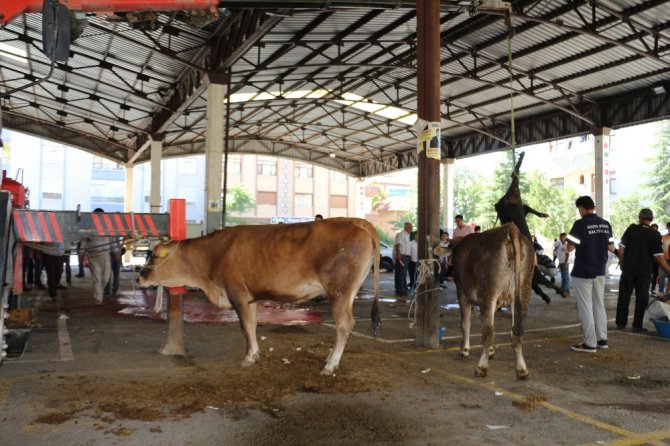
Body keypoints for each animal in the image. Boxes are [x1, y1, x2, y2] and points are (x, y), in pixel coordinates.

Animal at [139, 218, 380, 374]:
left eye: (156, 255)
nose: (140, 277)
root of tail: (357, 222)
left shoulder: (237, 293)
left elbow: (245, 326)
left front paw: (248, 357)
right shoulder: (250, 297)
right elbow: (253, 325)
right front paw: (255, 353)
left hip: (339, 290)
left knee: (344, 324)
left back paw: (330, 365)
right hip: (349, 291)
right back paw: (331, 360)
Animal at [452, 223, 536, 380]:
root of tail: (509, 228)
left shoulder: (462, 294)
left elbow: (466, 323)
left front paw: (464, 350)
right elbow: (483, 322)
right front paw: (490, 351)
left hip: (489, 292)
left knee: (489, 332)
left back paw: (481, 367)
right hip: (523, 292)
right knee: (516, 333)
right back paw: (522, 370)